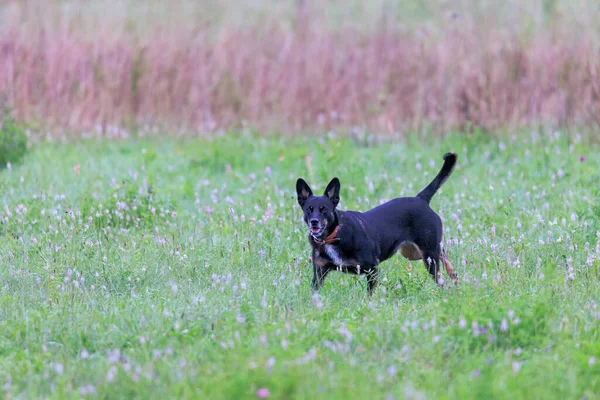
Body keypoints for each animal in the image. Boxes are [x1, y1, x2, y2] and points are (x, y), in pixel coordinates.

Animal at [296, 153, 460, 296]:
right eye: (309, 209)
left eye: (324, 209)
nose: (314, 222)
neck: (334, 235)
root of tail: (420, 199)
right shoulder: (319, 272)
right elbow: (315, 292)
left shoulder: (372, 269)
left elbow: (369, 294)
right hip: (414, 253)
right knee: (443, 254)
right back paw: (453, 275)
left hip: (428, 254)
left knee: (440, 272)